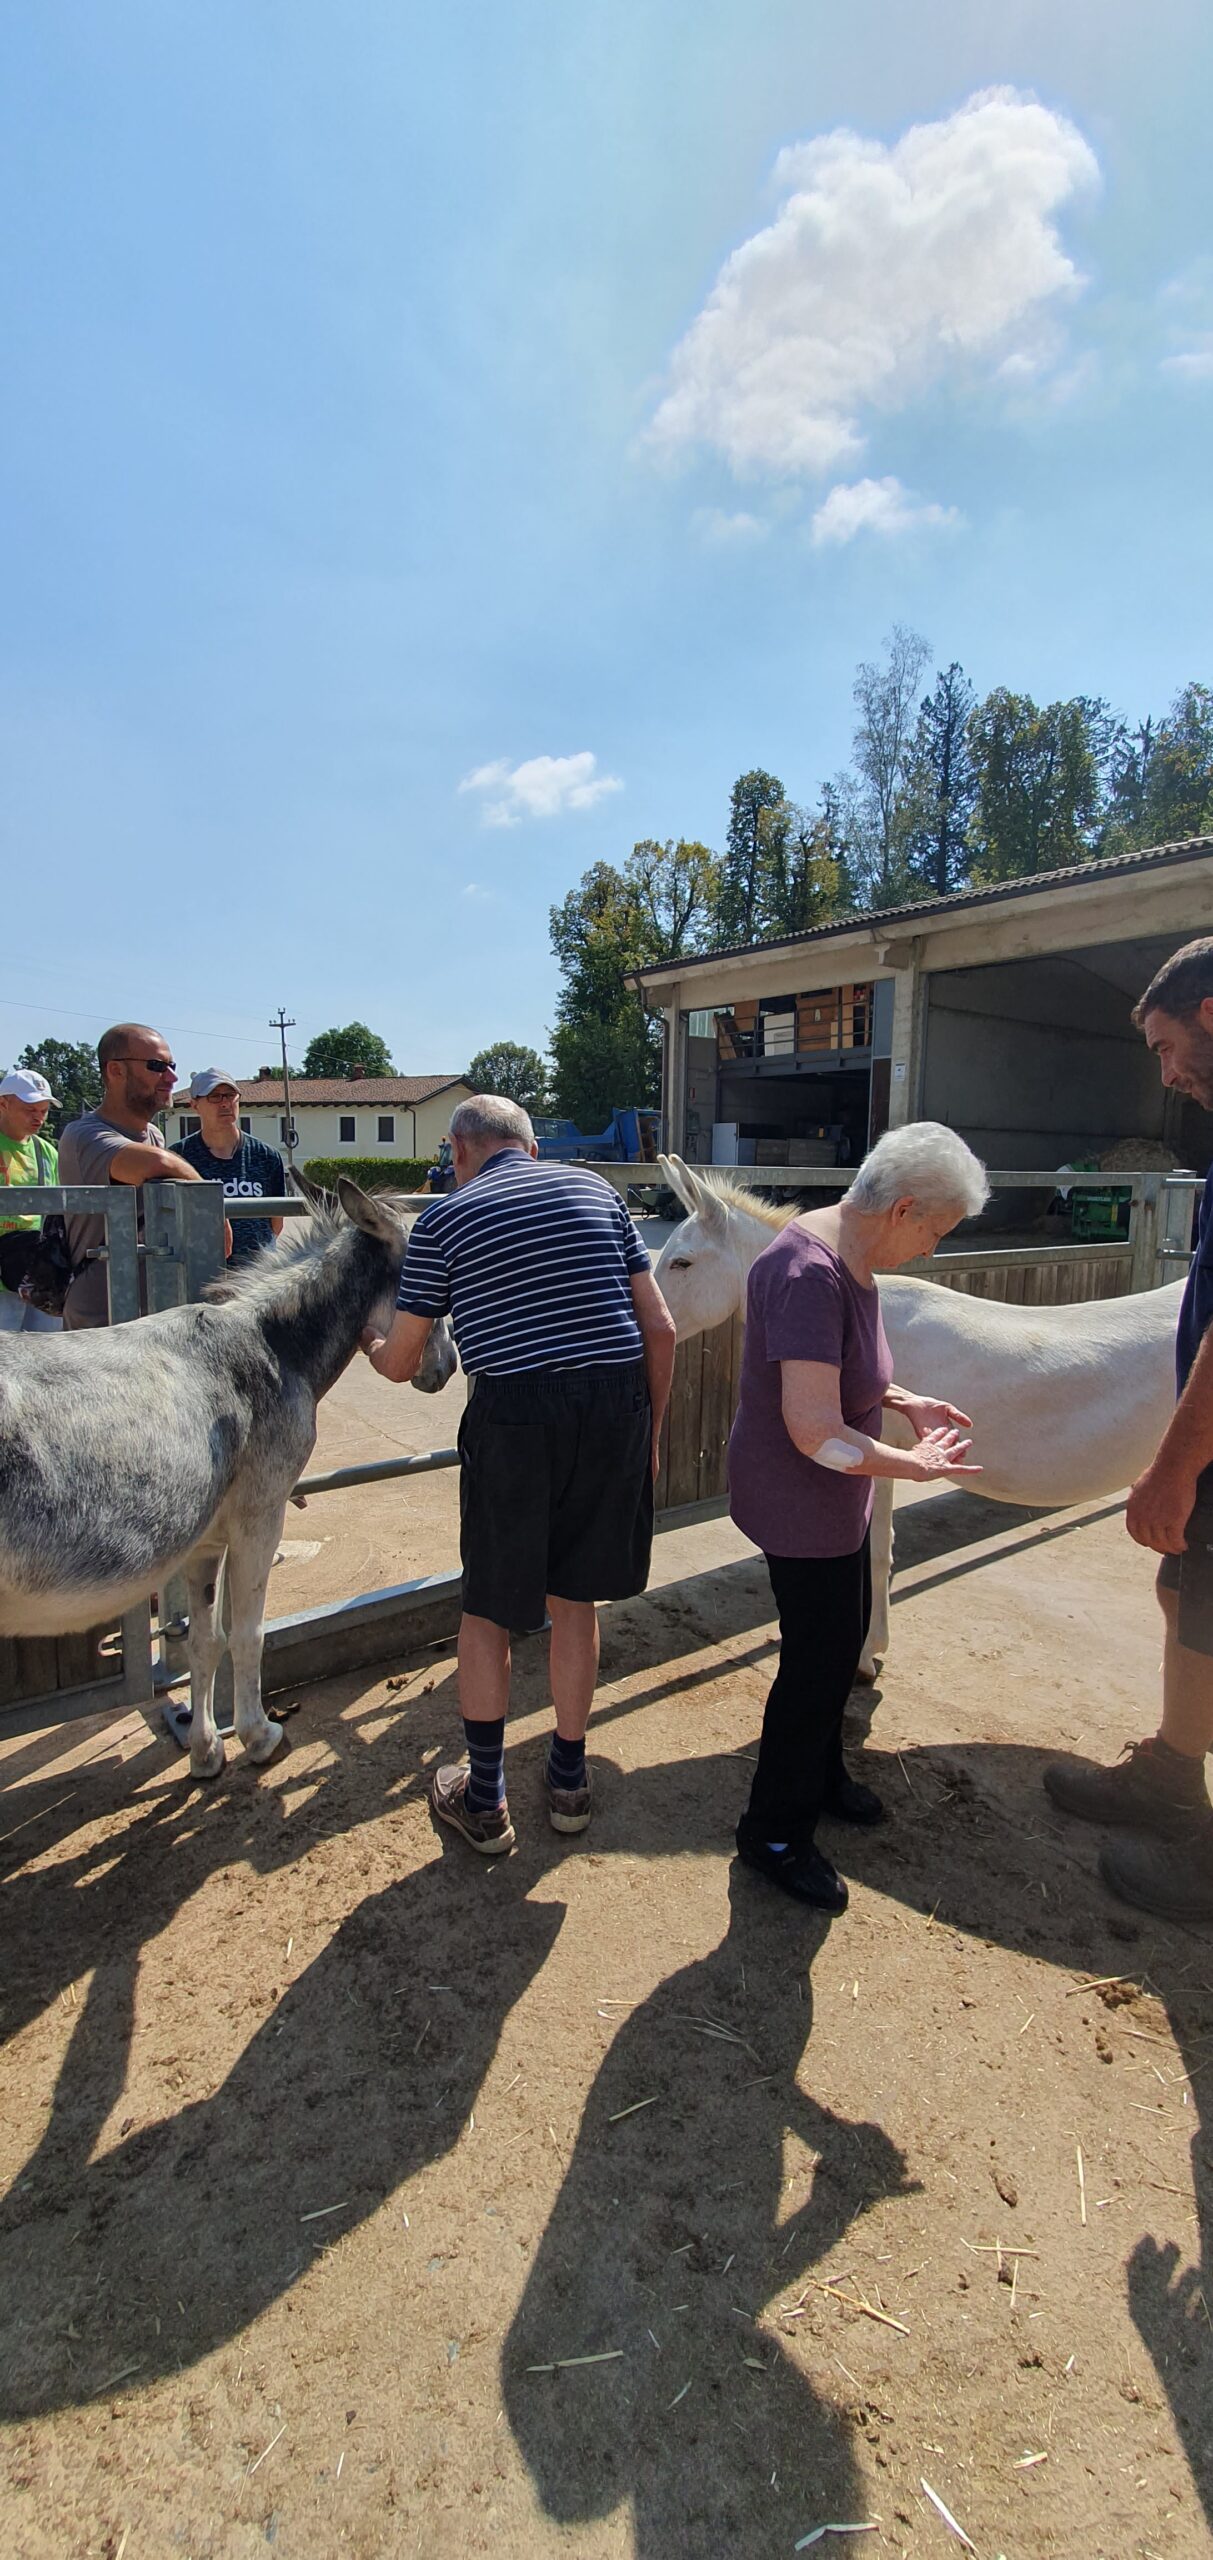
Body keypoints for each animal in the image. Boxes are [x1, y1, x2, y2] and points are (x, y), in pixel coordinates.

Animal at [0, 1180, 456, 1778]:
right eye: (433, 1277)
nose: (447, 1369)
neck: (275, 1344)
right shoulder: (259, 1516)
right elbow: (246, 1633)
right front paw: (258, 1735)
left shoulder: (202, 1542)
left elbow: (203, 1641)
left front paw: (205, 1747)